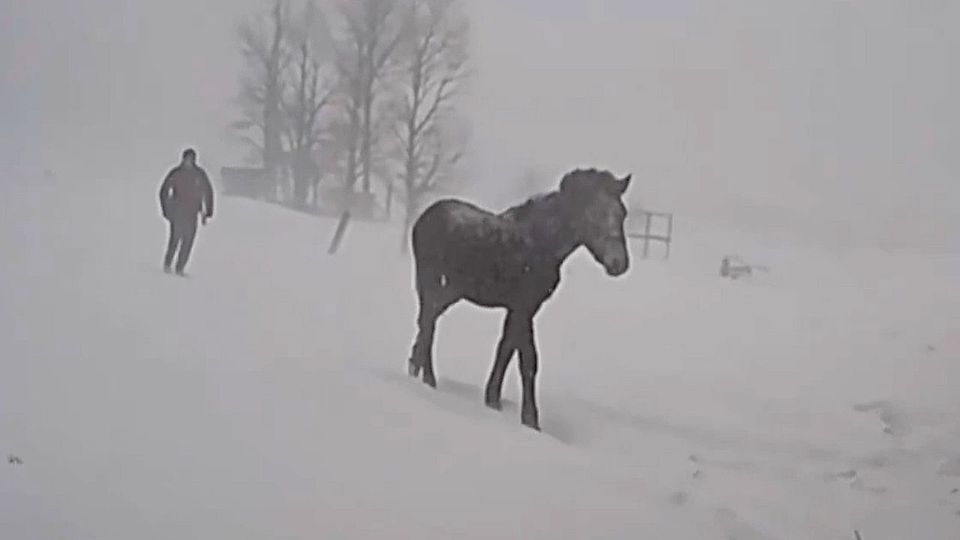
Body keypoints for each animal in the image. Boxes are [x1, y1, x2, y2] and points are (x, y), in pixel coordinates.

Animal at [406, 168, 633, 430]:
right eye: (592, 214)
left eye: (622, 214)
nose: (619, 264)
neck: (540, 244)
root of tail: (426, 215)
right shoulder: (524, 307)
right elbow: (528, 360)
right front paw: (531, 420)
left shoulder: (520, 309)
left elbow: (506, 348)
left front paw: (493, 400)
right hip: (431, 279)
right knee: (428, 321)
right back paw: (425, 376)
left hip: (449, 289)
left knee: (428, 319)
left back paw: (419, 370)